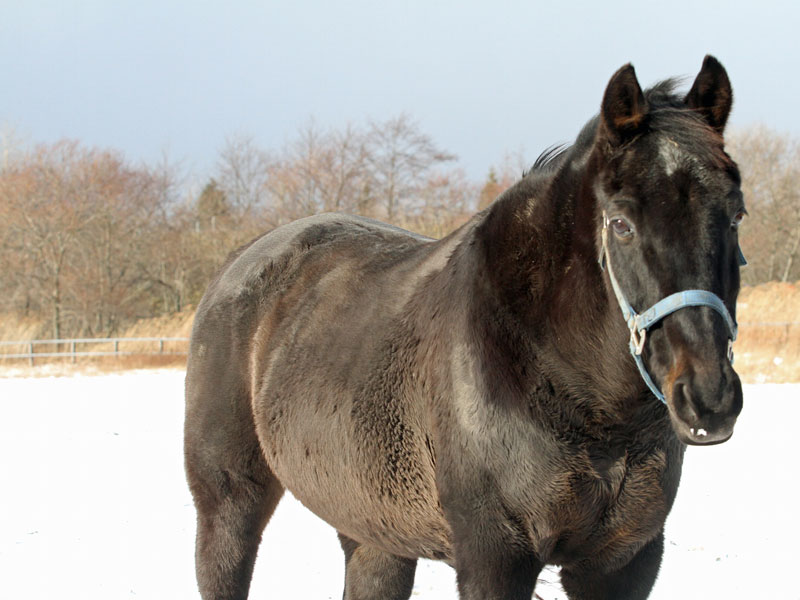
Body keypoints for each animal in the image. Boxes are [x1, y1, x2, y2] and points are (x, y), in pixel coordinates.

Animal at [184, 55, 744, 600]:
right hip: (229, 506)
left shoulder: (622, 562)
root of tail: (240, 262)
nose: (709, 397)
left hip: (374, 533)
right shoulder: (495, 557)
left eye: (736, 215)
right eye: (623, 224)